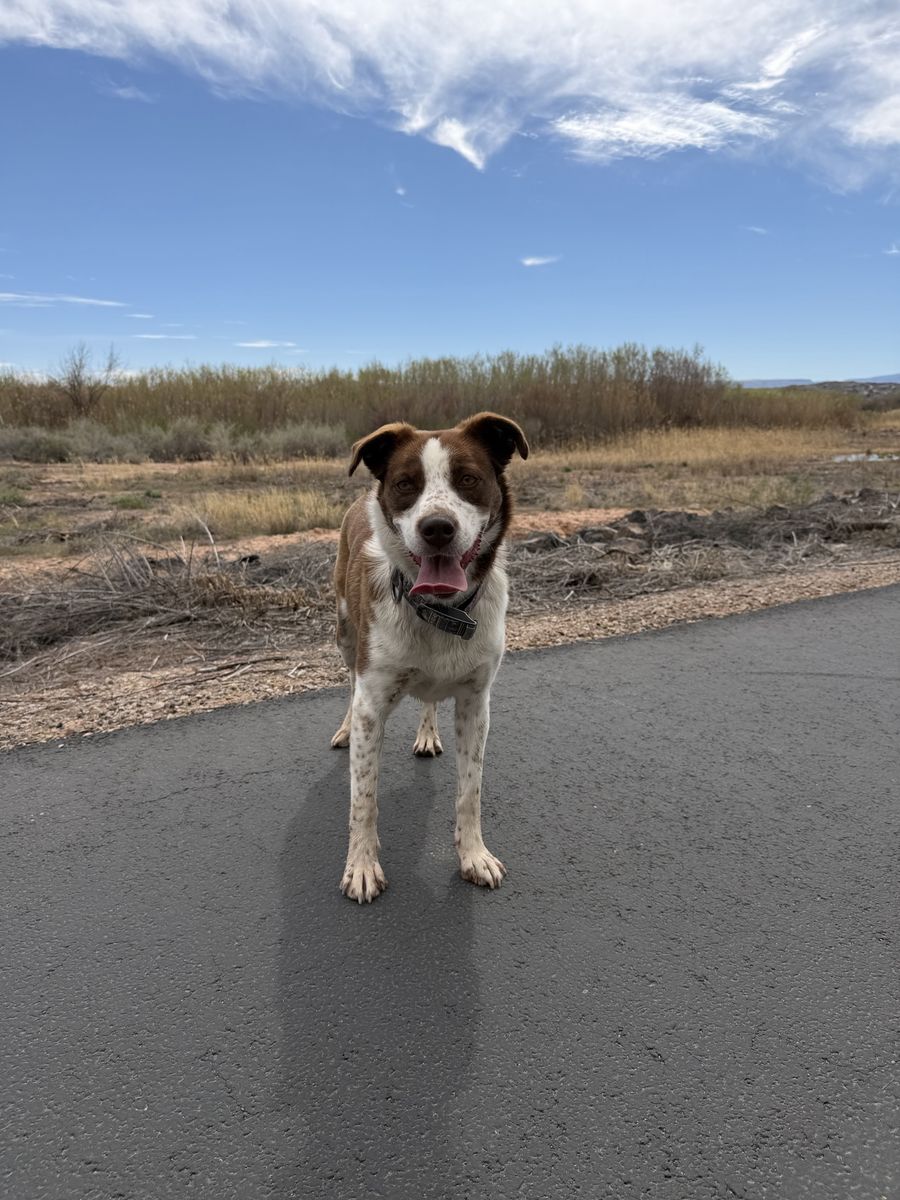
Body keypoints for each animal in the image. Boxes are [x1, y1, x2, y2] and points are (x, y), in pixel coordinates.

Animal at [331, 411, 529, 902]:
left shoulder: (476, 703)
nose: (437, 527)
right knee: (348, 682)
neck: (440, 611)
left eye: (468, 479)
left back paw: (427, 733)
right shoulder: (372, 703)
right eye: (406, 484)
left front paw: (473, 855)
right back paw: (343, 727)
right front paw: (361, 865)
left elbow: (470, 791)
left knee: (430, 699)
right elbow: (363, 798)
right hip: (344, 632)